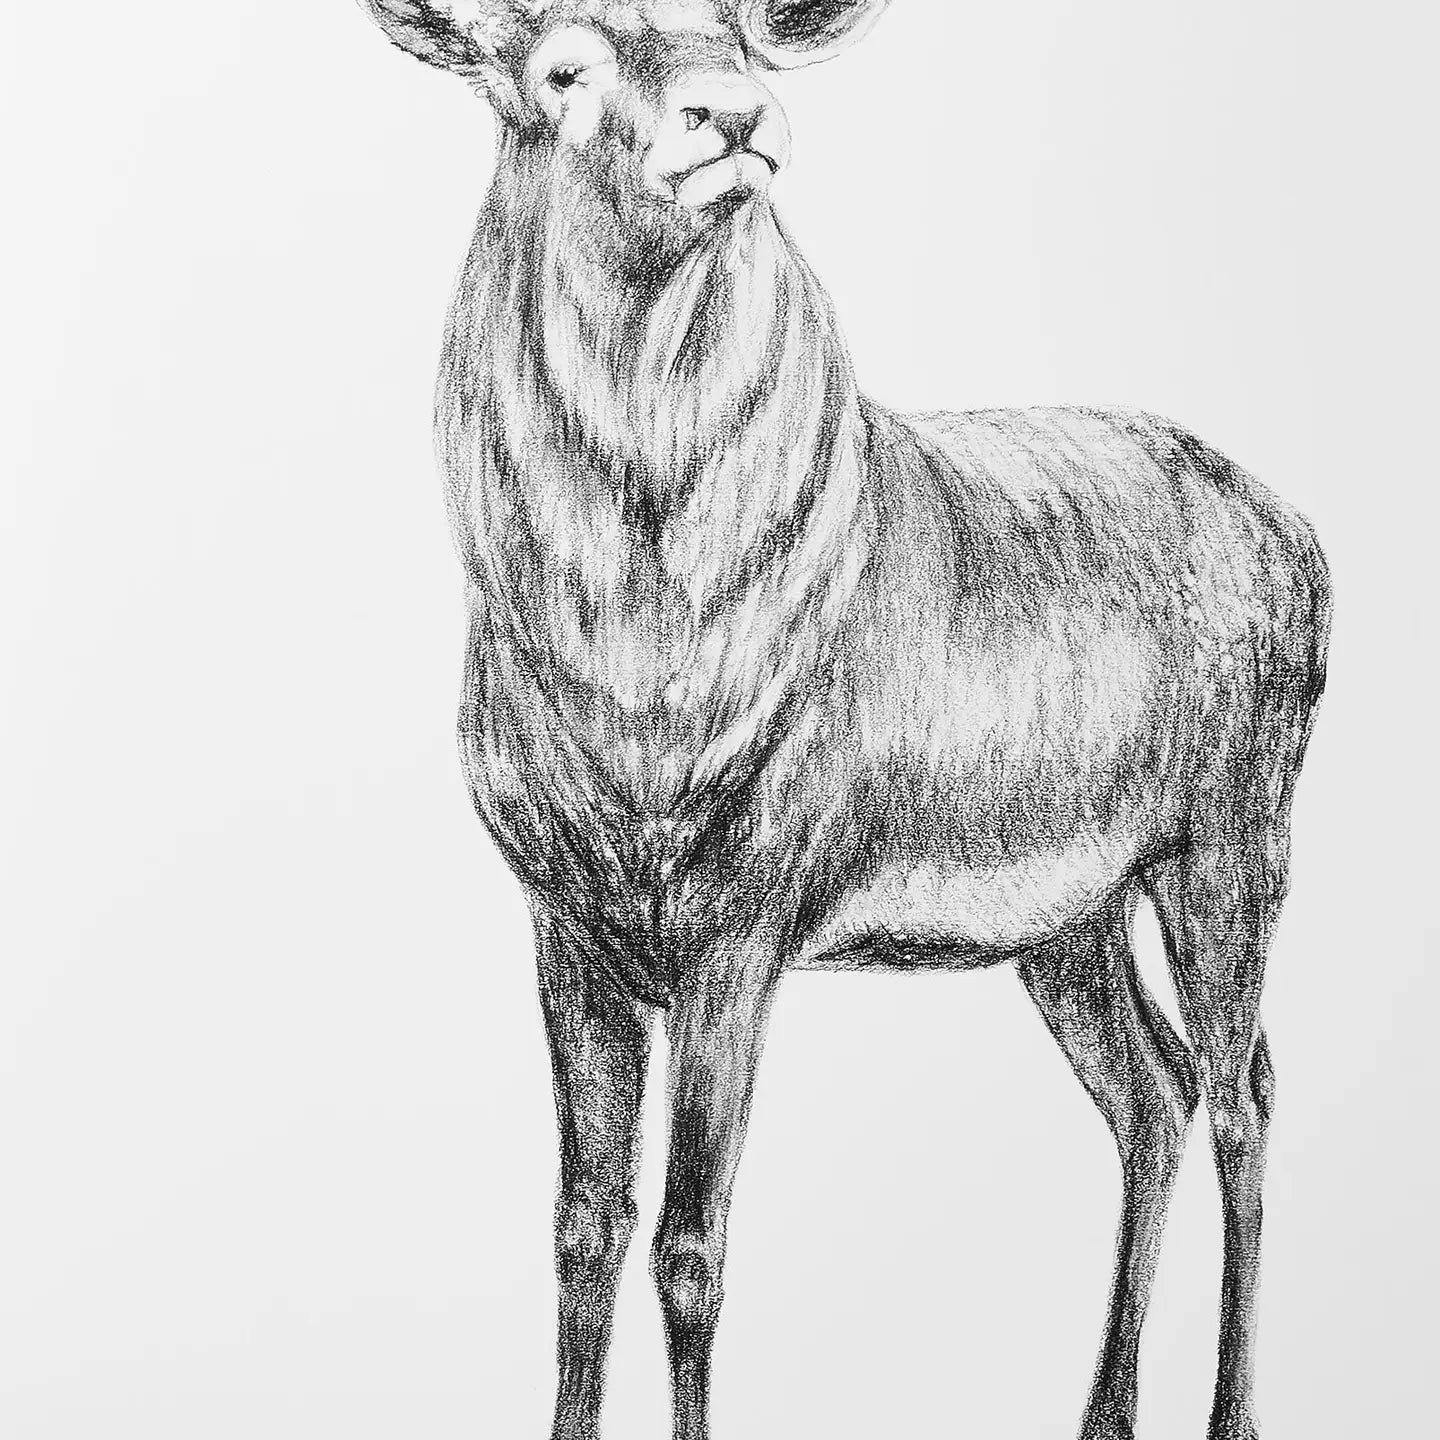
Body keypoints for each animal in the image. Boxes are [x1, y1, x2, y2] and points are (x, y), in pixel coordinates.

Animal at [354, 3, 1330, 1437]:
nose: (730, 113)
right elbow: (584, 1222)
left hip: (1233, 842)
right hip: (1071, 917)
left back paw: (1230, 1417)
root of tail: (1304, 541)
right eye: (560, 67)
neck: (637, 687)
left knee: (1246, 1093)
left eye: (742, 40)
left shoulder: (743, 923)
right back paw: (1101, 1414)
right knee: (1153, 1090)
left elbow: (692, 1246)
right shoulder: (565, 925)